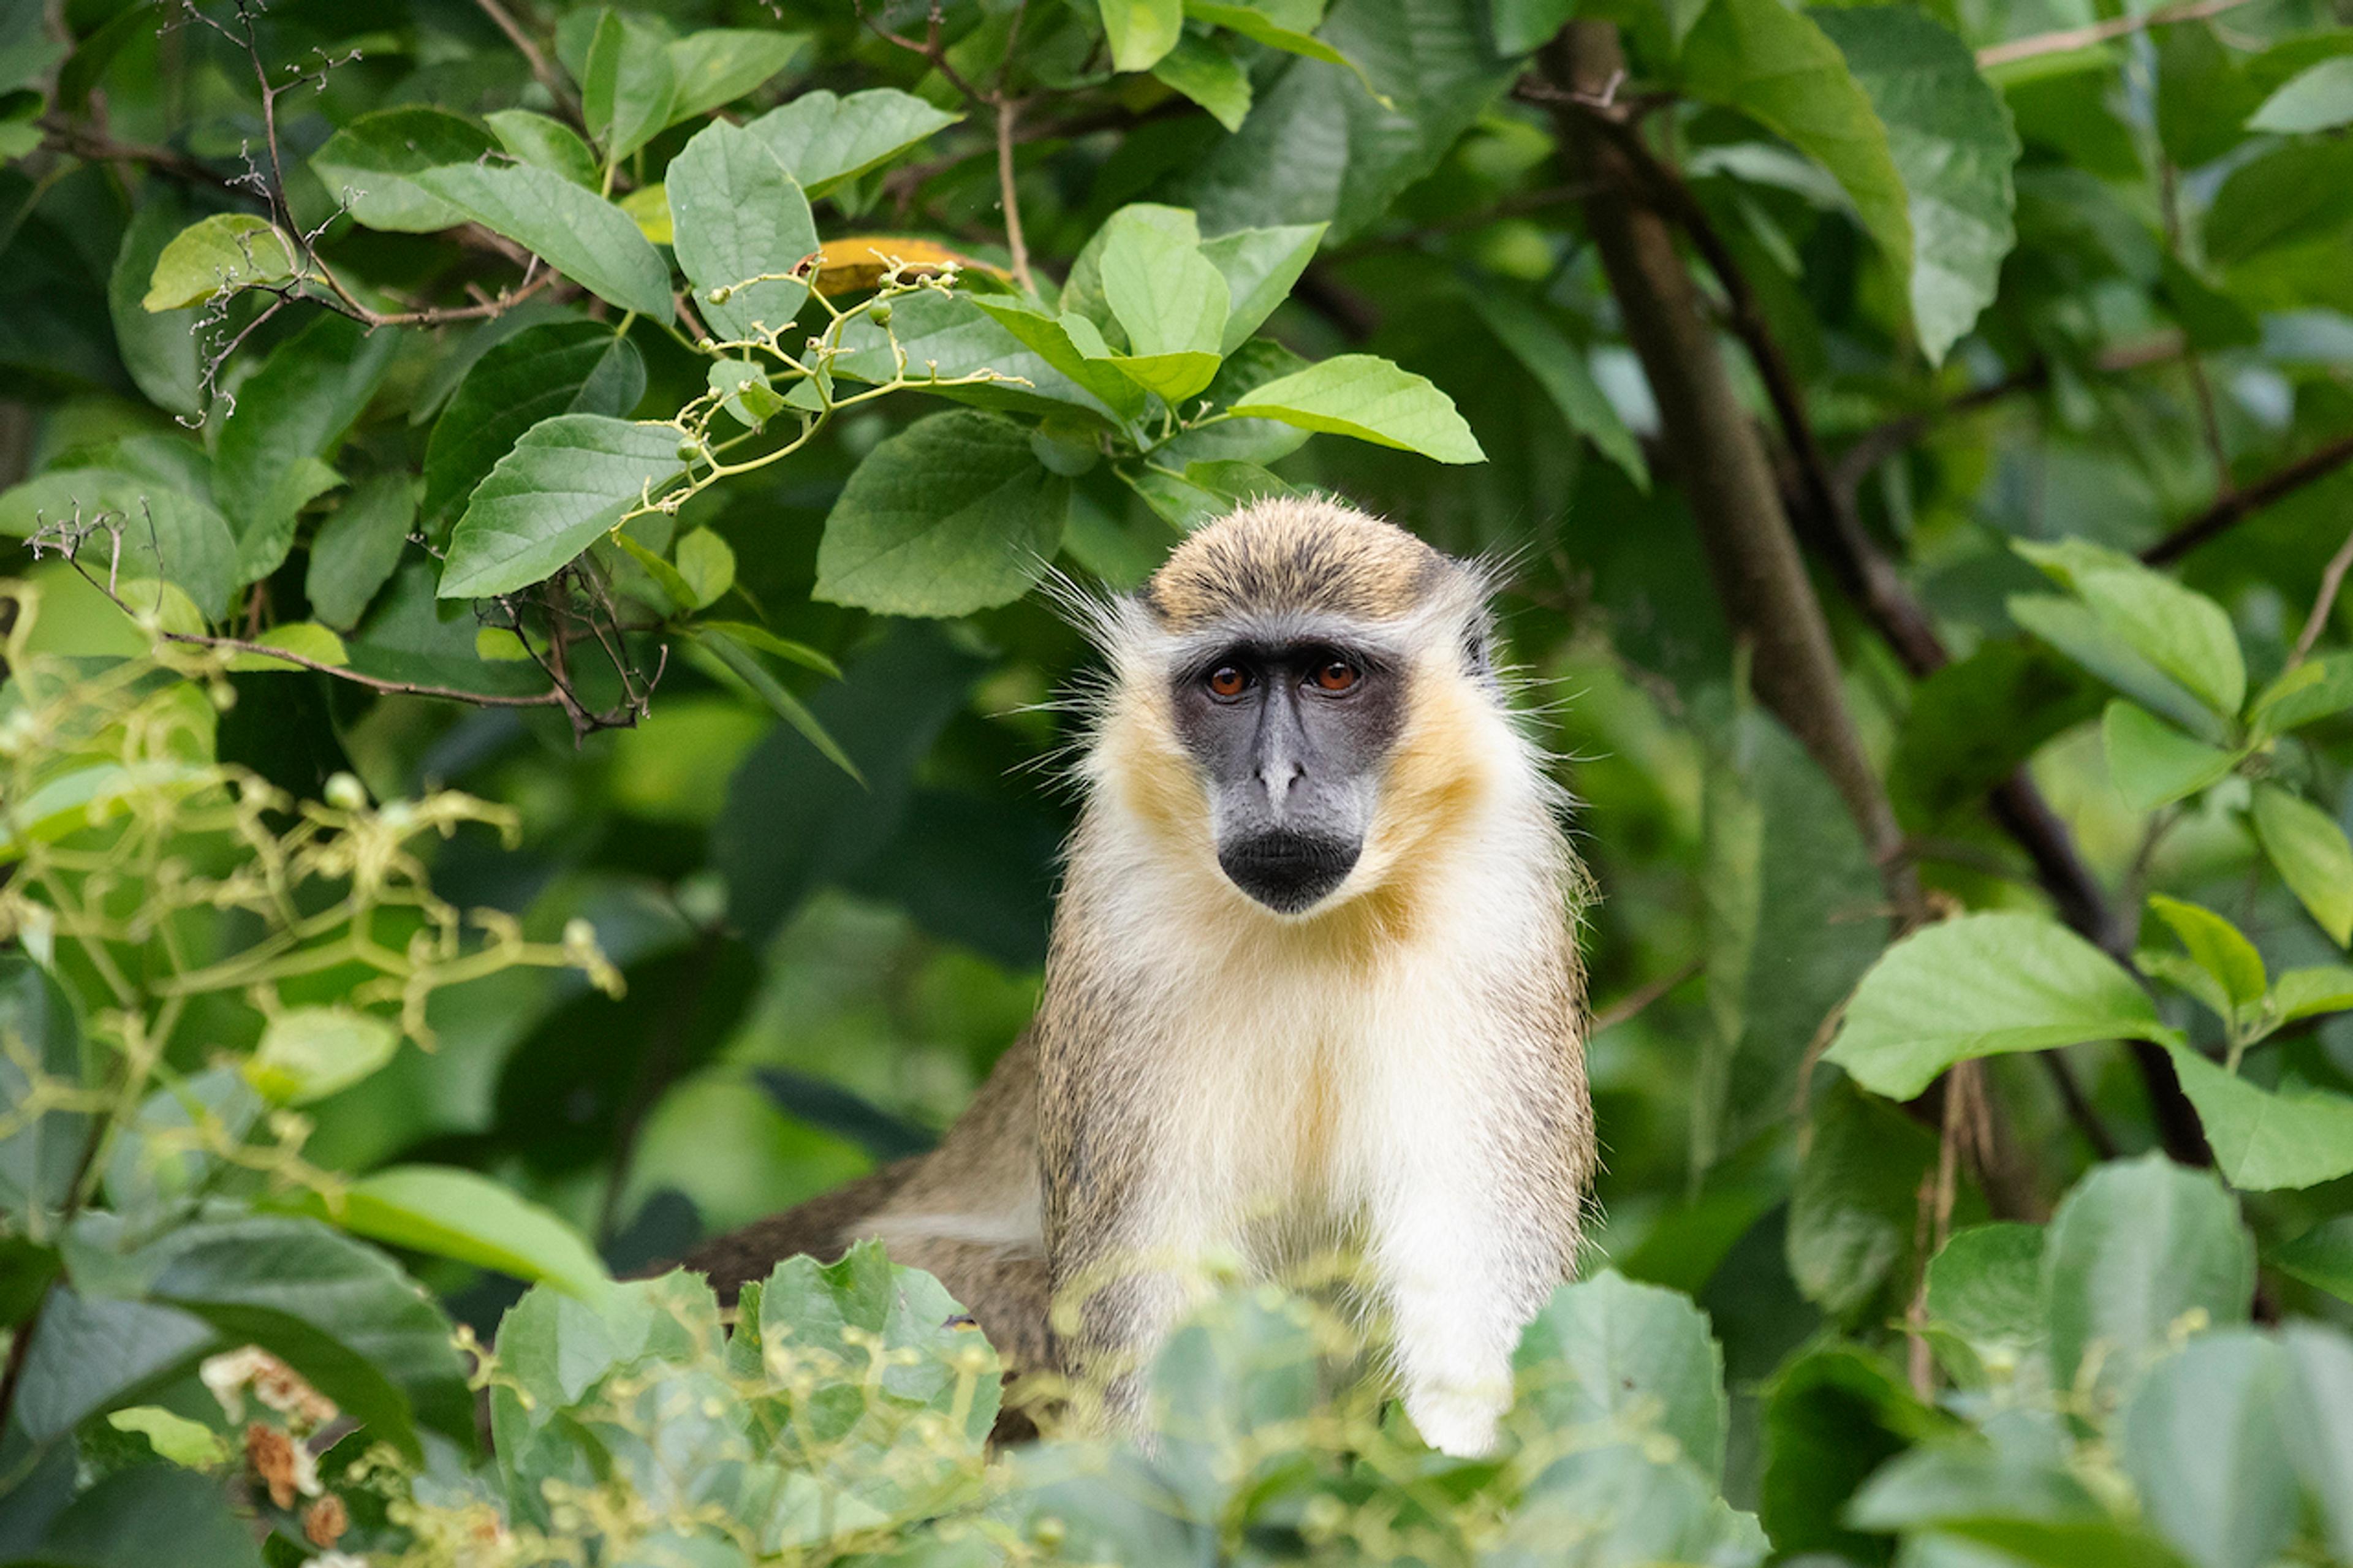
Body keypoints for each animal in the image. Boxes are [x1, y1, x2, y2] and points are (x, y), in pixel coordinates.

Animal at [683, 496, 1594, 1457]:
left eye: (1334, 675)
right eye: (1228, 682)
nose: (1277, 776)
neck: (1313, 929)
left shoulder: (1496, 919)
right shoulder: (1124, 928)